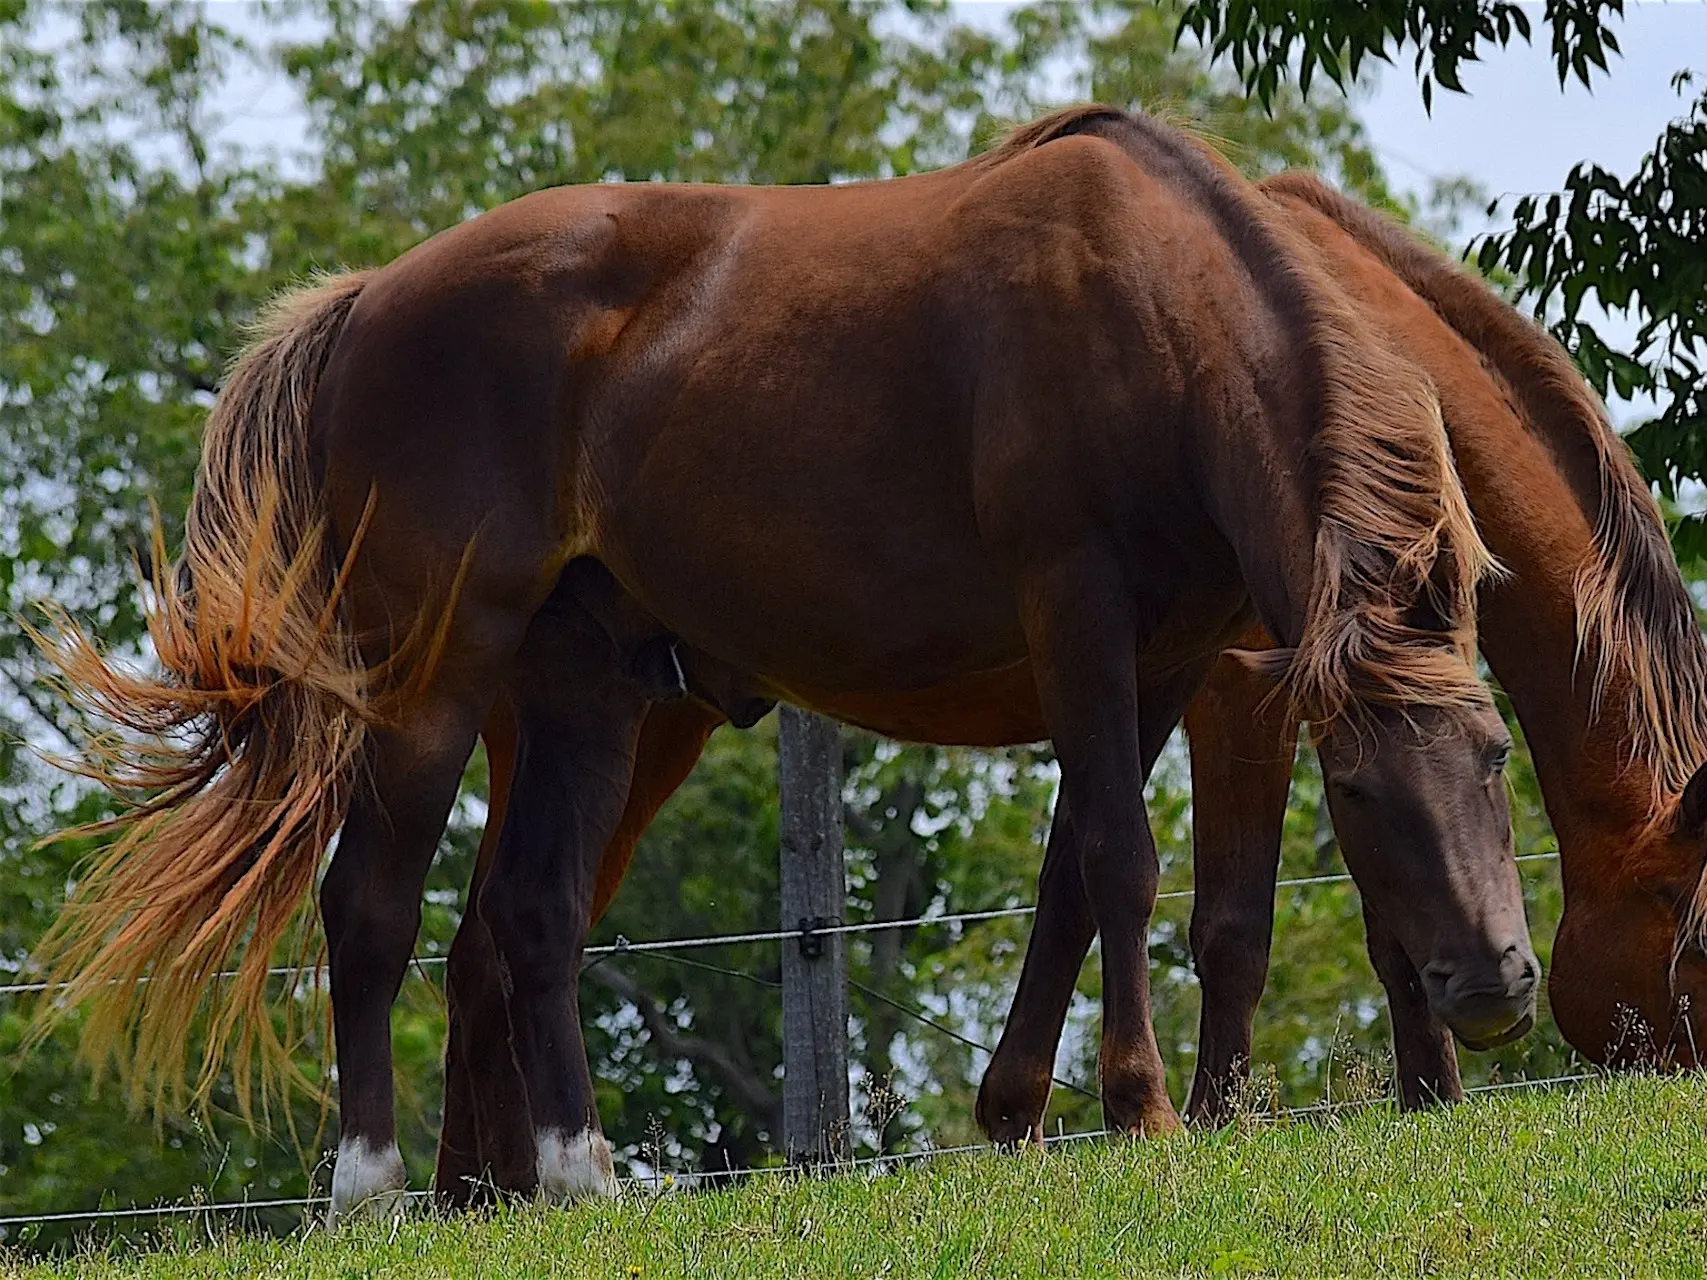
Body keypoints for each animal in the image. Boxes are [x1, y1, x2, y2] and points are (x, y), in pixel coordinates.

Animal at [33, 102, 1536, 1221]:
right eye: (1354, 791)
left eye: (1491, 755)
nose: (1496, 986)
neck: (1154, 311)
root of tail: (361, 303)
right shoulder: (1080, 618)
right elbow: (1120, 859)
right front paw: (1141, 1108)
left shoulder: (1160, 659)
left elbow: (1066, 875)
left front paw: (1017, 1114)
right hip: (431, 676)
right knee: (370, 909)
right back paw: (371, 1190)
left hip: (583, 693)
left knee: (530, 917)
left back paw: (579, 1178)